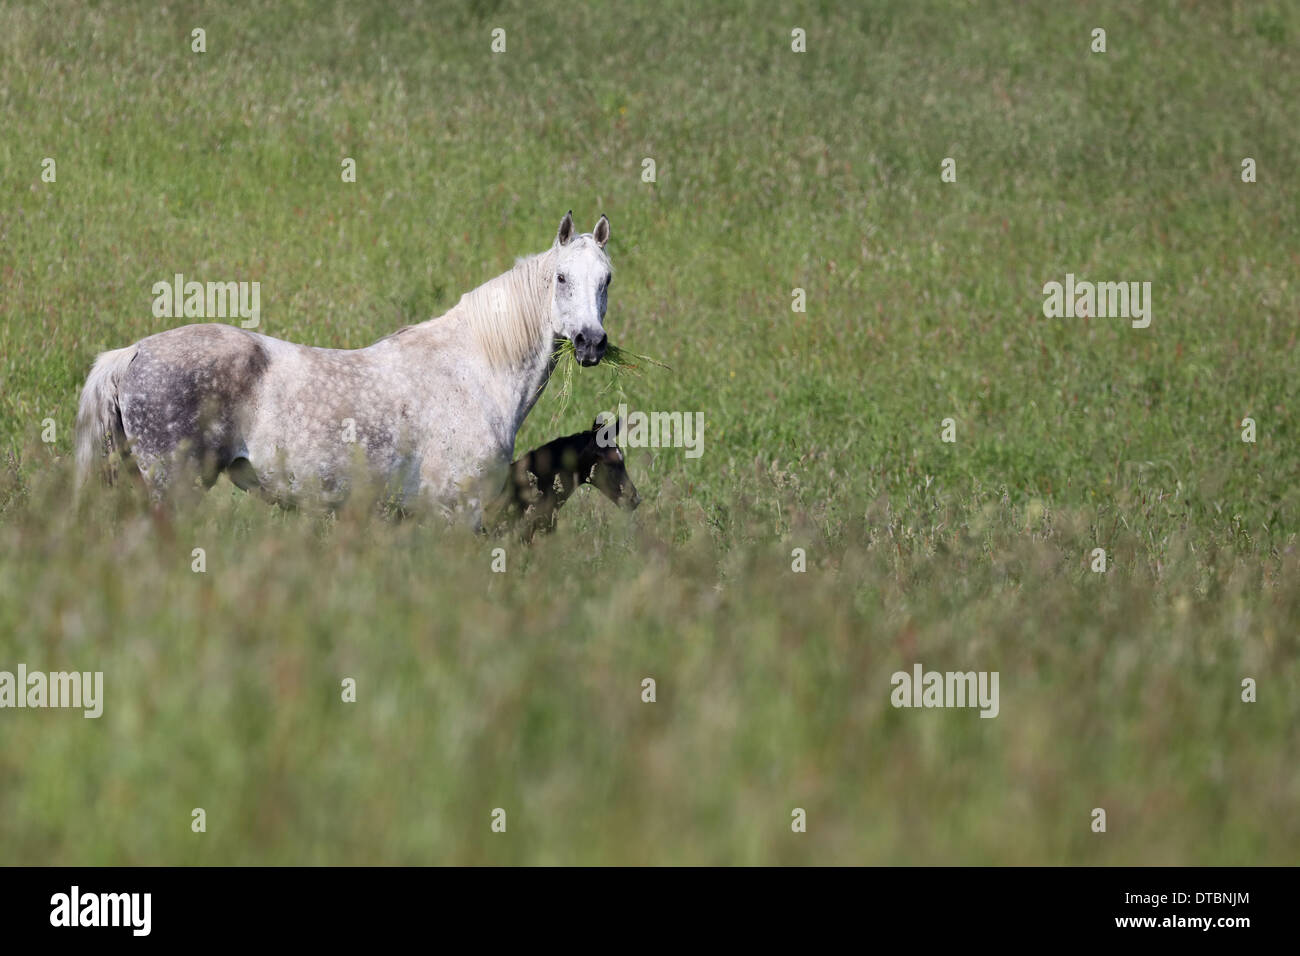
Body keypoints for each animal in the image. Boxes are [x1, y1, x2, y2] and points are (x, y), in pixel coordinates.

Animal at [76, 210, 613, 530]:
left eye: (606, 279)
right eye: (561, 277)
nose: (591, 343)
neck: (476, 371)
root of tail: (131, 353)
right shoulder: (457, 513)